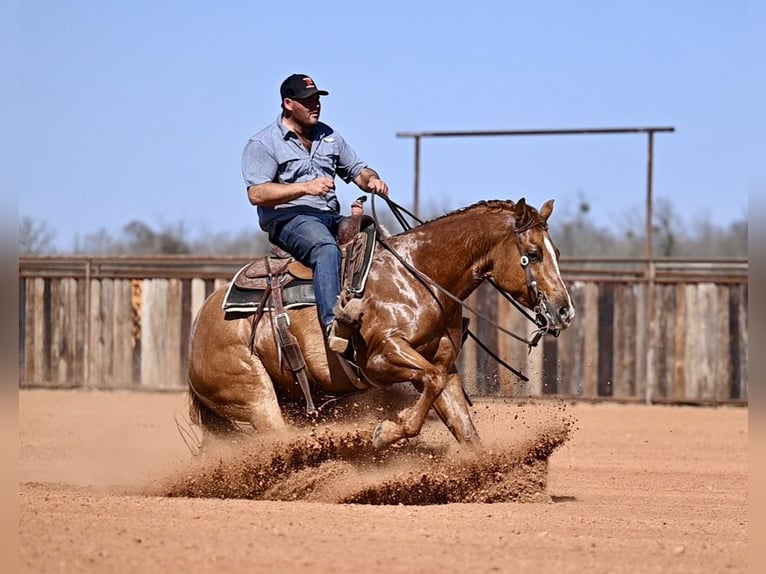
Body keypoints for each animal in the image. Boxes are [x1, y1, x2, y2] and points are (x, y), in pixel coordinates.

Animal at [188, 198, 576, 450]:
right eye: (534, 254)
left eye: (557, 251)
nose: (564, 311)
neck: (421, 276)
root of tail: (198, 331)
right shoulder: (381, 358)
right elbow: (431, 384)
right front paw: (386, 432)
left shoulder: (439, 365)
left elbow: (458, 415)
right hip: (255, 397)